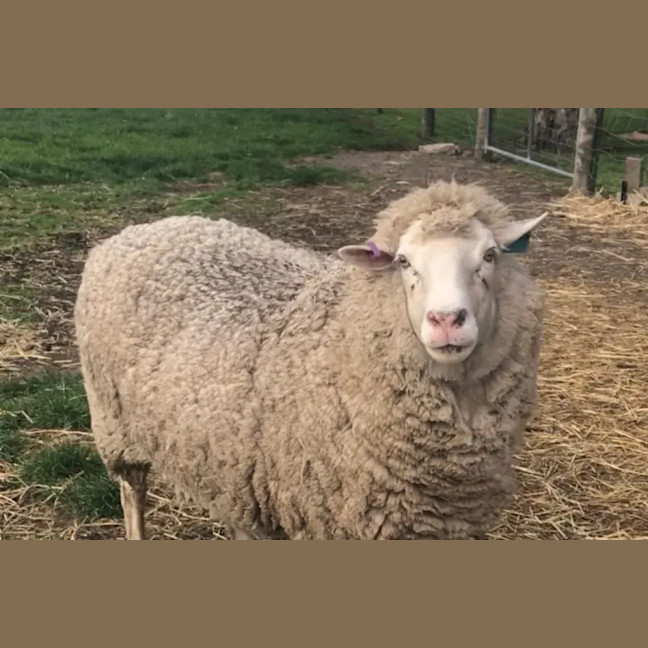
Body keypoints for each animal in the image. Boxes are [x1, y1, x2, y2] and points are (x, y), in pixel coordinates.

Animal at [74, 180, 547, 540]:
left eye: (490, 256)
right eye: (403, 261)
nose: (447, 320)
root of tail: (145, 228)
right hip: (114, 423)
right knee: (131, 492)